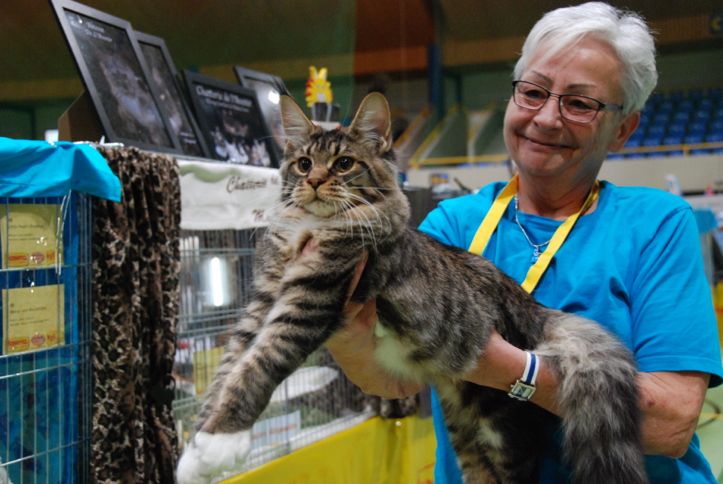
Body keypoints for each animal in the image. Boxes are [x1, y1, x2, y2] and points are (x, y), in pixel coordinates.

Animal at [175, 92, 644, 482]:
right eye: (304, 164)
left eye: (344, 164)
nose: (314, 181)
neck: (310, 228)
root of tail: (530, 304)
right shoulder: (264, 299)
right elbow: (227, 369)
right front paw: (197, 449)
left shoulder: (313, 298)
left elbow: (258, 366)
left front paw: (222, 442)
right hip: (464, 430)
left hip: (504, 427)